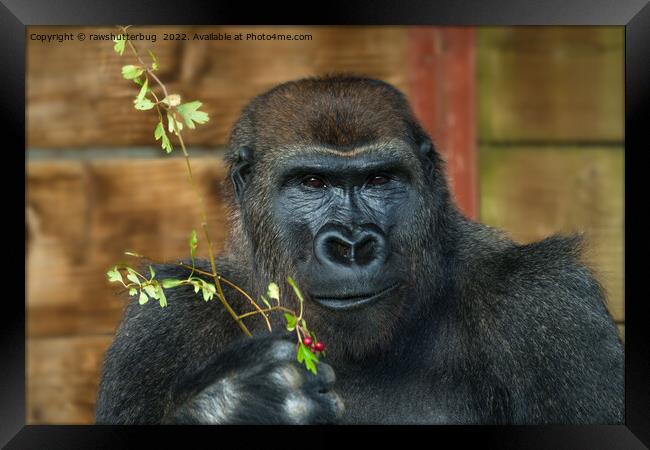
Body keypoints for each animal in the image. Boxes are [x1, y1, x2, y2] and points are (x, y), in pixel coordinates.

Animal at [93, 74, 620, 426]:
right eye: (312, 182)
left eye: (379, 180)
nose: (351, 245)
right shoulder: (165, 320)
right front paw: (235, 408)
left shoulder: (546, 302)